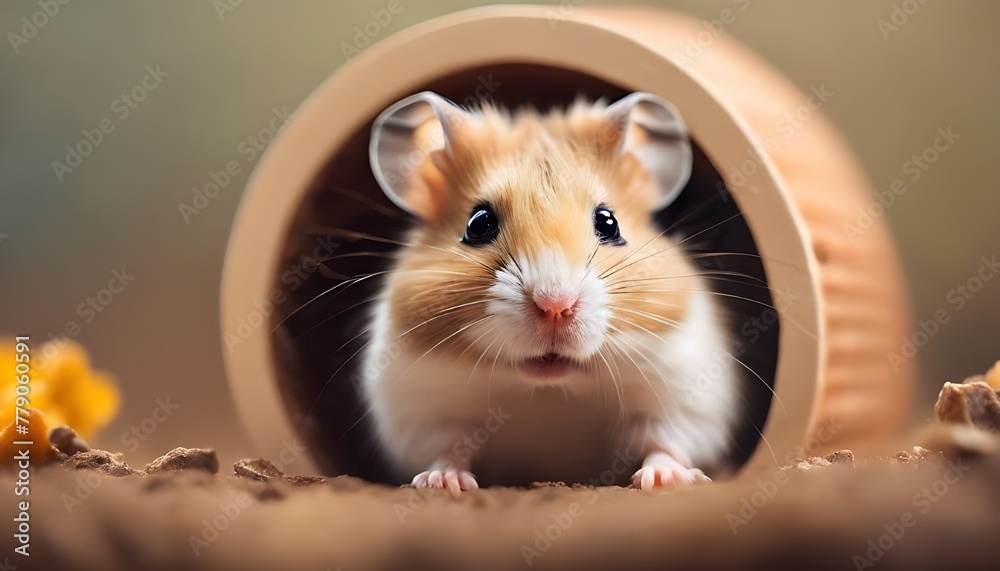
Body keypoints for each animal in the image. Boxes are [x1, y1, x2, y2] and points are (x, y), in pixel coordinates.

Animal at [361, 91, 740, 492]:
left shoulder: (684, 395)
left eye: (609, 223)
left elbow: (665, 442)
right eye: (478, 224)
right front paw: (442, 483)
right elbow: (447, 448)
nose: (555, 305)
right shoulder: (424, 408)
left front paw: (665, 481)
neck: (549, 385)